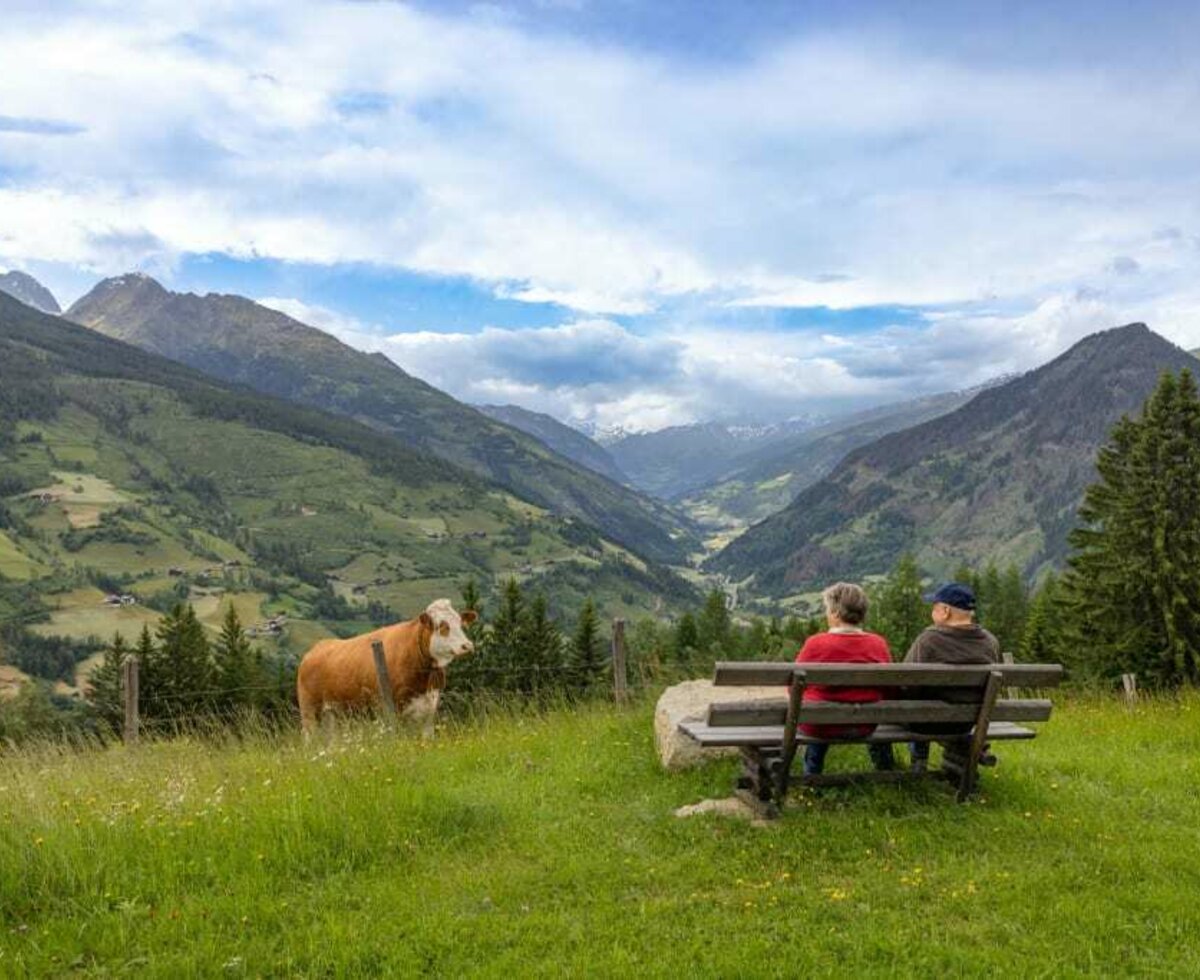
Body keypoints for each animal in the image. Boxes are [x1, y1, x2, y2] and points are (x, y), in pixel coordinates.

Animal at [294, 597, 472, 734]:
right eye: (443, 626)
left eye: (460, 623)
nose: (467, 645)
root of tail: (315, 648)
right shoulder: (390, 709)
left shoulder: (428, 710)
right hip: (310, 712)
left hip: (332, 715)